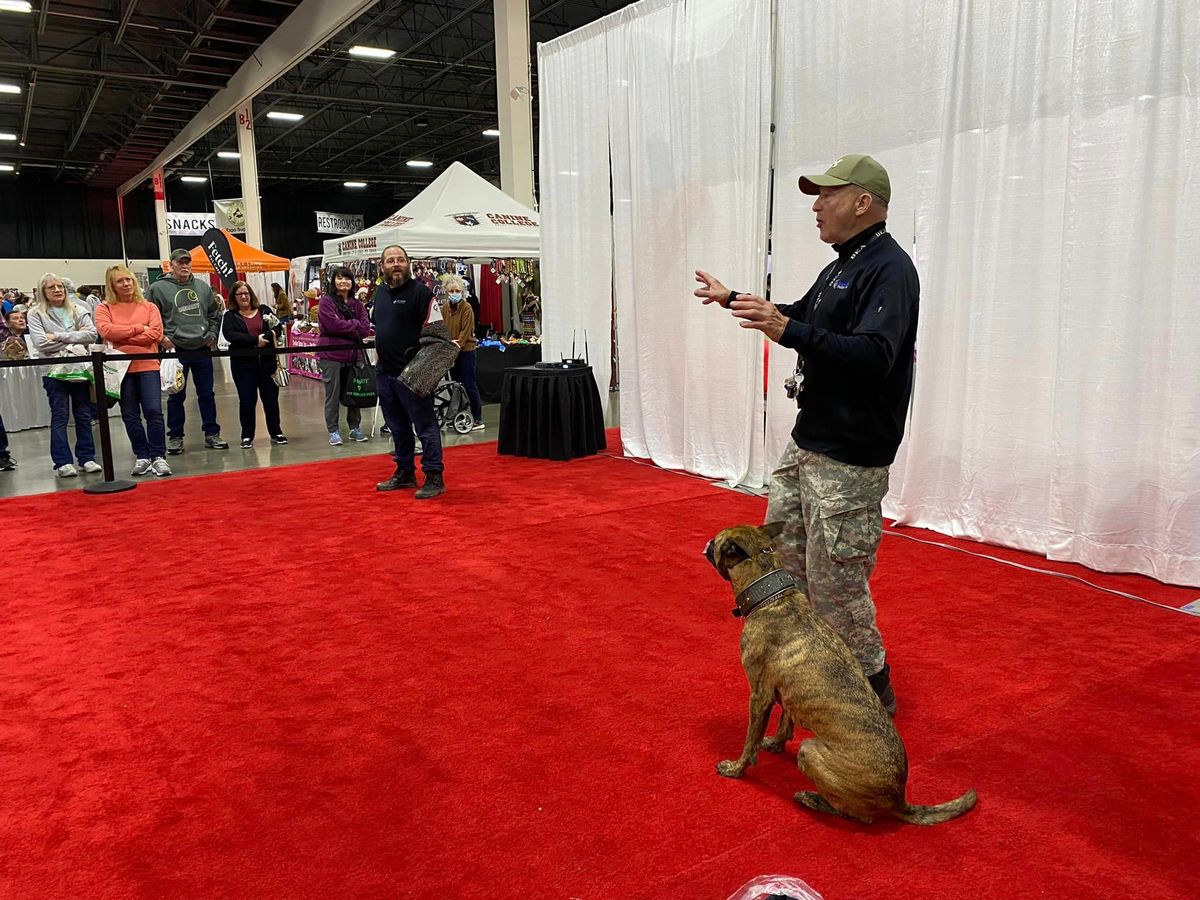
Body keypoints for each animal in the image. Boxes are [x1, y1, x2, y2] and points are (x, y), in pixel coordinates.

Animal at [700, 525, 974, 830]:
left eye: (718, 541)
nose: (707, 542)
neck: (774, 598)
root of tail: (898, 796)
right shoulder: (786, 692)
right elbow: (785, 720)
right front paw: (776, 744)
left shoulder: (759, 697)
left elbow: (750, 743)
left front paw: (736, 769)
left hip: (810, 751)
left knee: (857, 815)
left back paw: (813, 799)